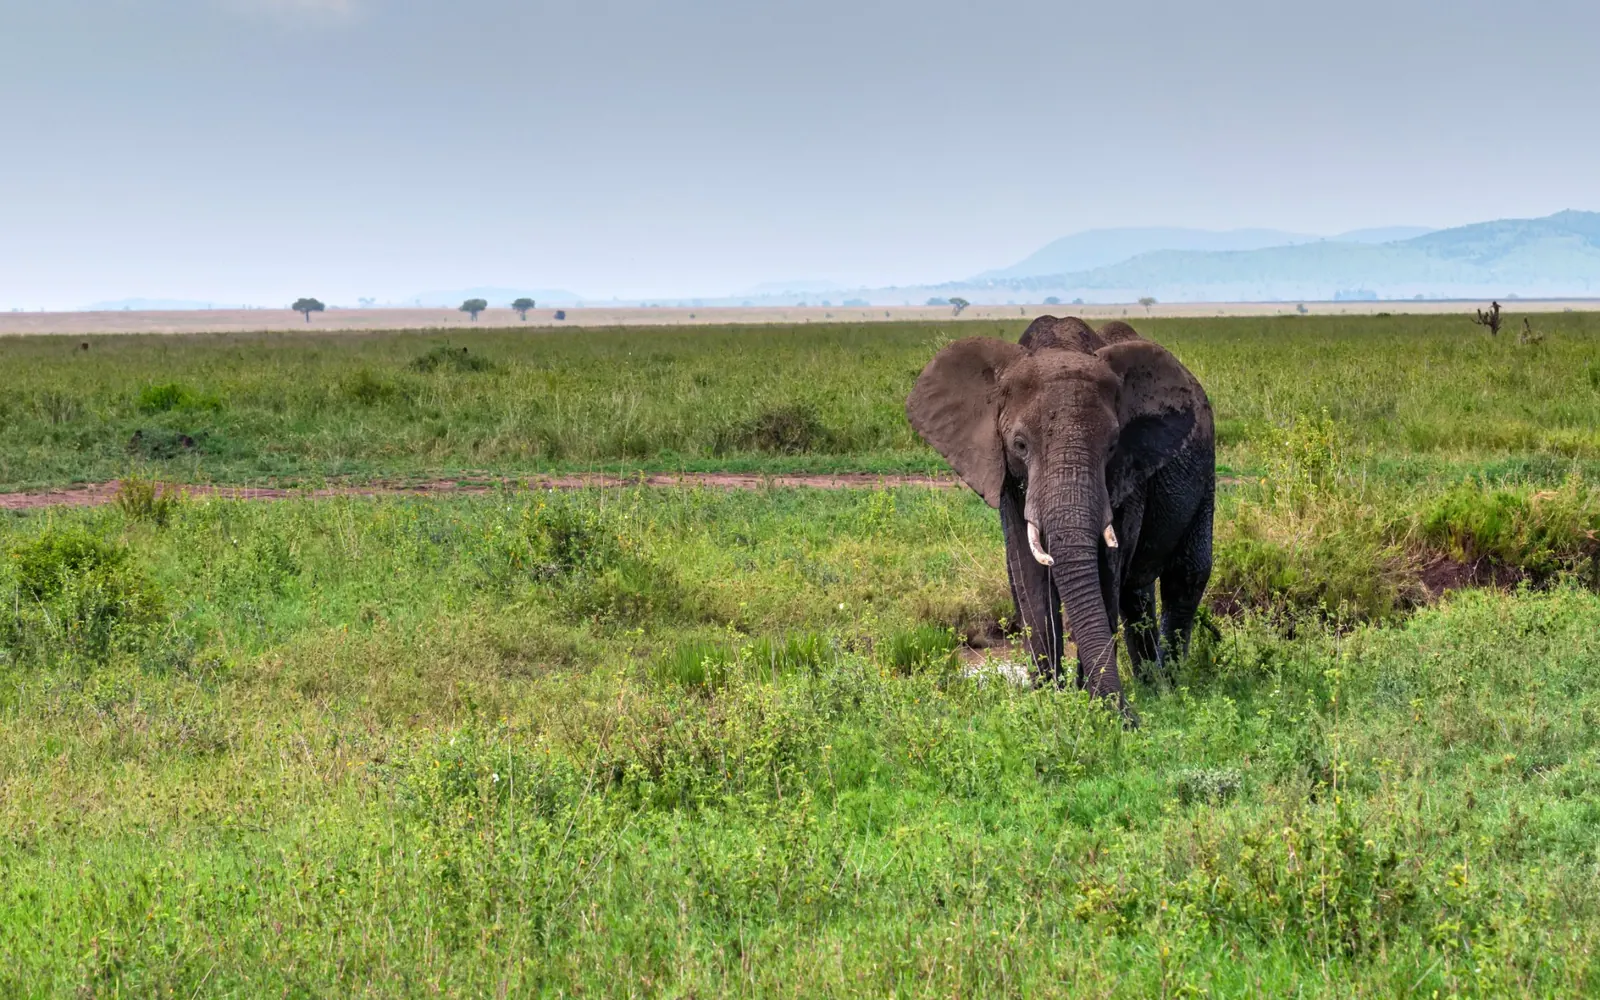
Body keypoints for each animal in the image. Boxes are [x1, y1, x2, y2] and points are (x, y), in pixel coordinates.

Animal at [906, 316, 1214, 718]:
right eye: (1020, 445)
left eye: (1112, 446)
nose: (1130, 719)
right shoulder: (1005, 475)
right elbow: (1027, 570)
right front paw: (1048, 698)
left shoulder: (1128, 471)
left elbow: (1106, 568)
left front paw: (1090, 701)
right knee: (1137, 592)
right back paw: (1150, 682)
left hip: (1206, 468)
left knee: (1186, 574)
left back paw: (1170, 685)